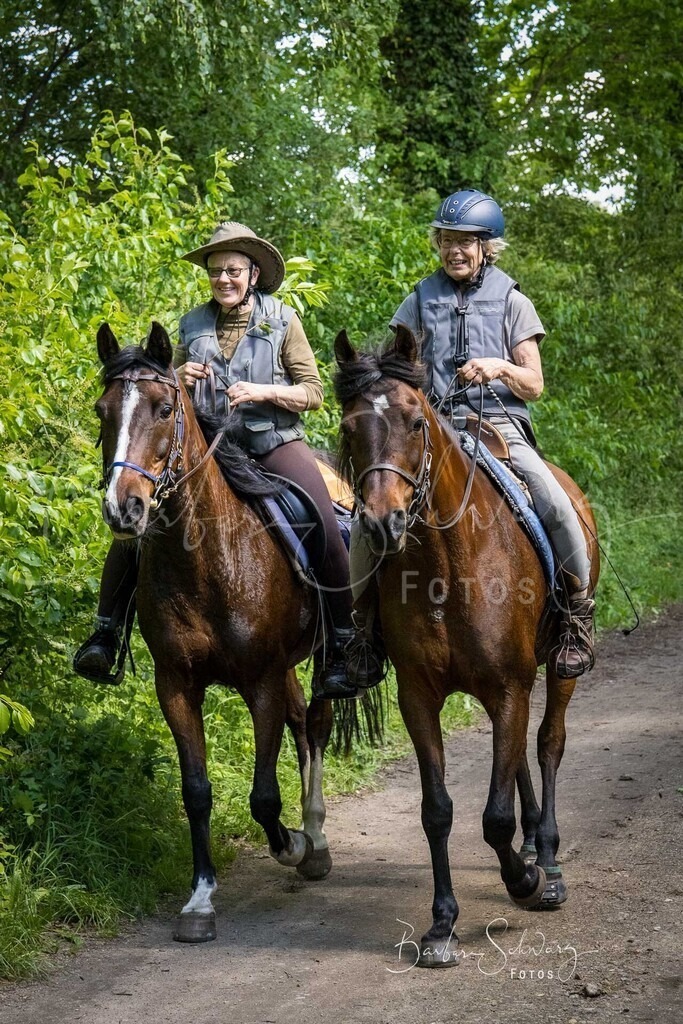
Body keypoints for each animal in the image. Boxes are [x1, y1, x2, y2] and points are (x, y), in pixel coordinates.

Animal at [93, 321, 336, 943]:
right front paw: (200, 901)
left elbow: (264, 796)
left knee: (316, 725)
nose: (123, 509)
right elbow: (197, 792)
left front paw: (292, 846)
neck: (206, 558)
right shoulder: (176, 685)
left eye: (162, 408)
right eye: (102, 409)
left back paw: (315, 839)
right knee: (303, 723)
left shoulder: (262, 683)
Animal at [334, 325, 600, 967]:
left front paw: (525, 882)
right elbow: (438, 811)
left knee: (547, 744)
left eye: (415, 422)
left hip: (556, 671)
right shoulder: (421, 696)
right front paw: (441, 926)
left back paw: (545, 858)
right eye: (350, 428)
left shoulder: (508, 685)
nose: (381, 523)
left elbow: (495, 816)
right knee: (521, 756)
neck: (446, 565)